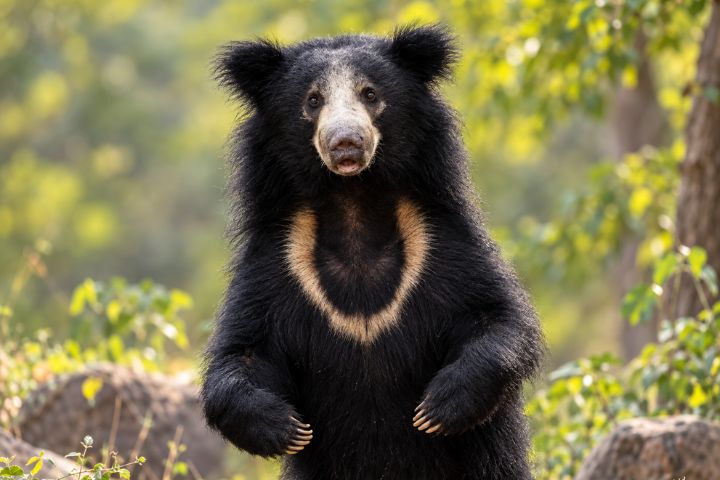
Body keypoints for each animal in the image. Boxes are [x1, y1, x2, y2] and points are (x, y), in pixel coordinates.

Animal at [201, 24, 545, 480]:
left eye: (370, 94)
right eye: (313, 100)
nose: (346, 142)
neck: (353, 201)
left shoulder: (442, 245)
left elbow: (498, 320)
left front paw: (437, 408)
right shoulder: (276, 263)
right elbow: (244, 351)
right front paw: (285, 428)